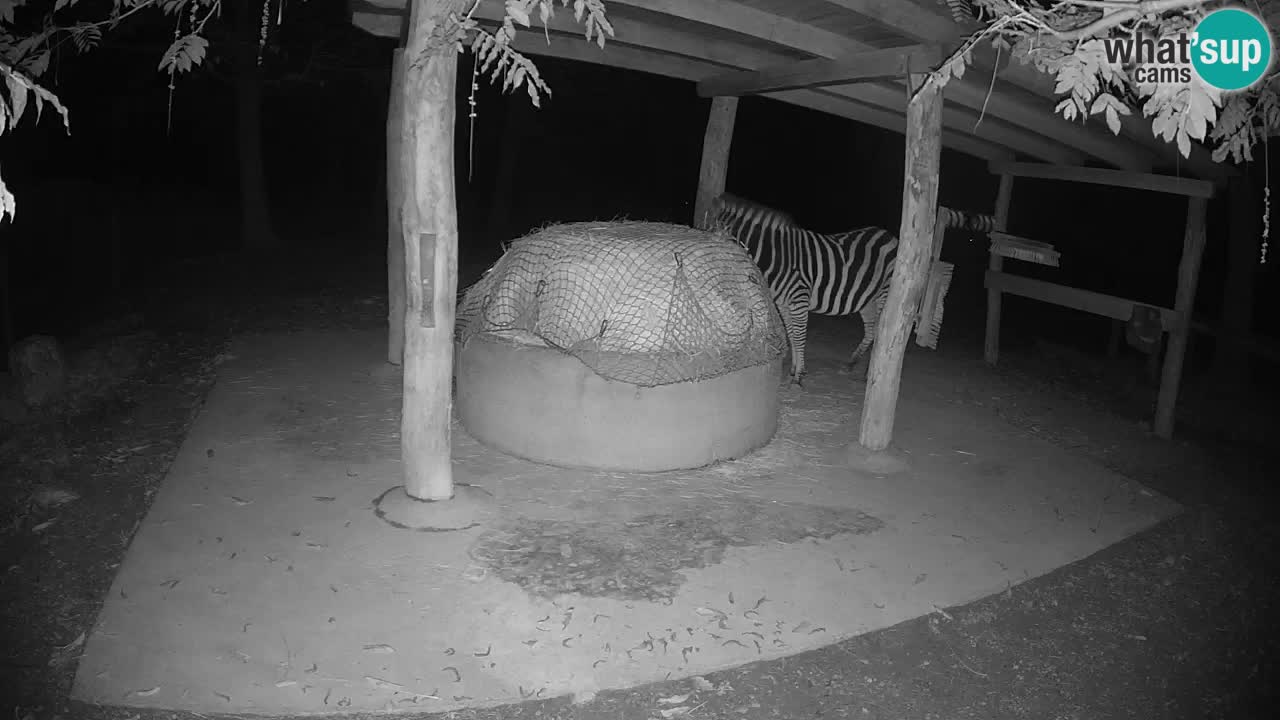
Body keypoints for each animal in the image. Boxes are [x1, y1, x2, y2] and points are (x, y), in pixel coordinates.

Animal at [705, 194, 995, 386]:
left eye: (708, 234)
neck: (776, 256)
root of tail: (893, 238)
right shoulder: (784, 303)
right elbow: (791, 335)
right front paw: (794, 370)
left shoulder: (799, 298)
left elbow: (799, 336)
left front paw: (798, 375)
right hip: (867, 299)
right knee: (873, 329)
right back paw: (855, 364)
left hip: (885, 294)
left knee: (882, 332)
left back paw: (871, 372)